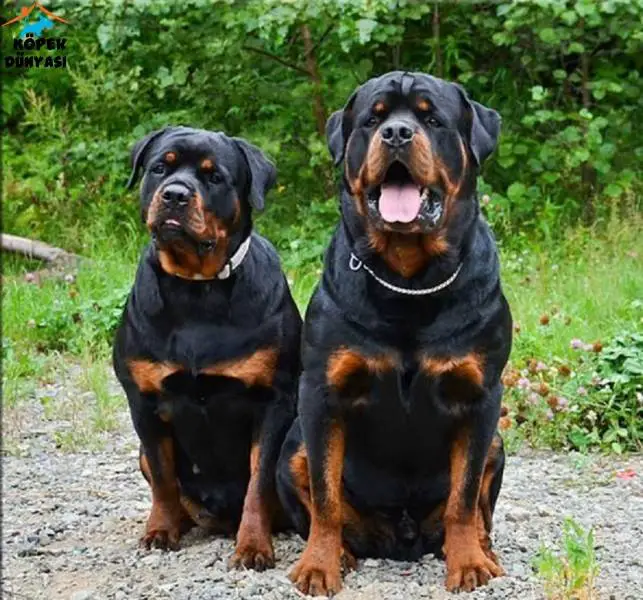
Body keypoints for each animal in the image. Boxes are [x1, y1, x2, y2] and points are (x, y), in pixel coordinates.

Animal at [115, 125, 302, 568]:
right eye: (159, 167)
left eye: (215, 176)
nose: (175, 194)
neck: (197, 289)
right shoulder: (143, 402)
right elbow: (163, 477)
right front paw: (161, 530)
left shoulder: (273, 402)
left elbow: (259, 482)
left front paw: (253, 546)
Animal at [276, 71, 512, 596]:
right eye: (373, 118)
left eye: (431, 118)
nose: (398, 134)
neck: (409, 280)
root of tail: (401, 538)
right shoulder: (320, 395)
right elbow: (324, 494)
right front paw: (318, 565)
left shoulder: (481, 398)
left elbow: (464, 496)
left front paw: (468, 561)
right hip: (292, 446)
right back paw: (342, 553)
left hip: (497, 442)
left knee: (477, 507)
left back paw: (483, 550)